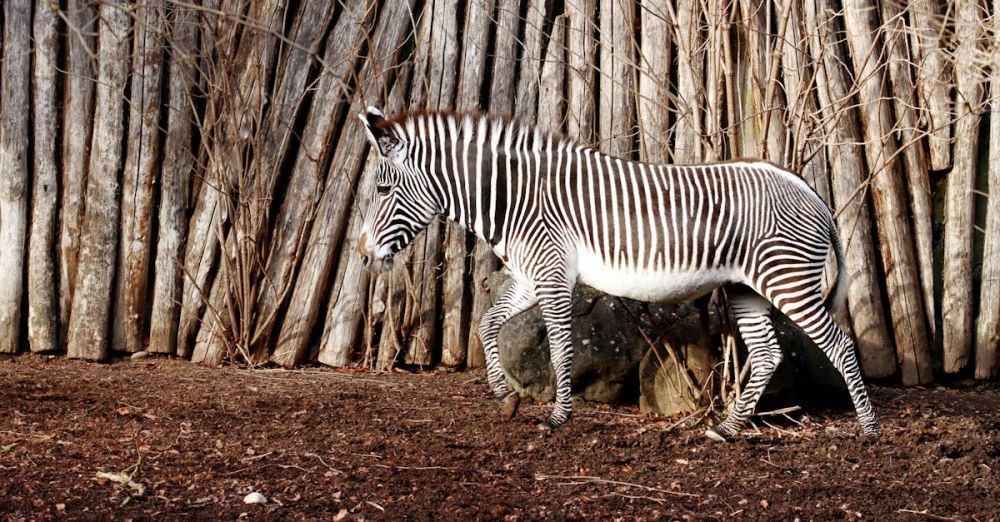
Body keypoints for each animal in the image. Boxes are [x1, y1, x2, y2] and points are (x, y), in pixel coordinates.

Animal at [356, 106, 880, 438]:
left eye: (382, 190)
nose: (361, 255)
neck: (513, 198)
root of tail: (805, 185)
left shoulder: (552, 273)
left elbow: (561, 348)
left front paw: (557, 418)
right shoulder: (530, 276)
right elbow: (488, 324)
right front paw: (506, 397)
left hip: (788, 280)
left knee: (840, 344)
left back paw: (869, 430)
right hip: (744, 286)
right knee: (769, 354)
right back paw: (727, 430)